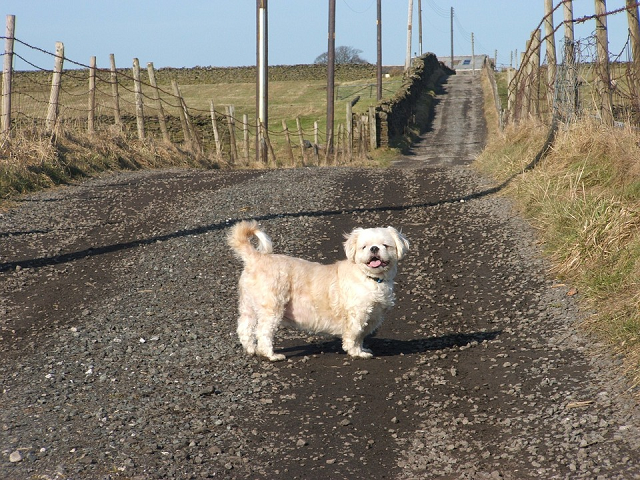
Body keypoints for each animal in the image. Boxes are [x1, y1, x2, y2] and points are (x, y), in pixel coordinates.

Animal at [229, 220, 410, 360]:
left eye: (385, 245)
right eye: (364, 247)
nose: (374, 248)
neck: (370, 279)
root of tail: (255, 258)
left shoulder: (372, 315)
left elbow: (361, 336)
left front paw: (362, 349)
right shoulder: (357, 314)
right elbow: (354, 335)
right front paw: (357, 353)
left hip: (248, 305)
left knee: (244, 327)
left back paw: (251, 349)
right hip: (272, 307)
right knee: (263, 332)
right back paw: (271, 355)